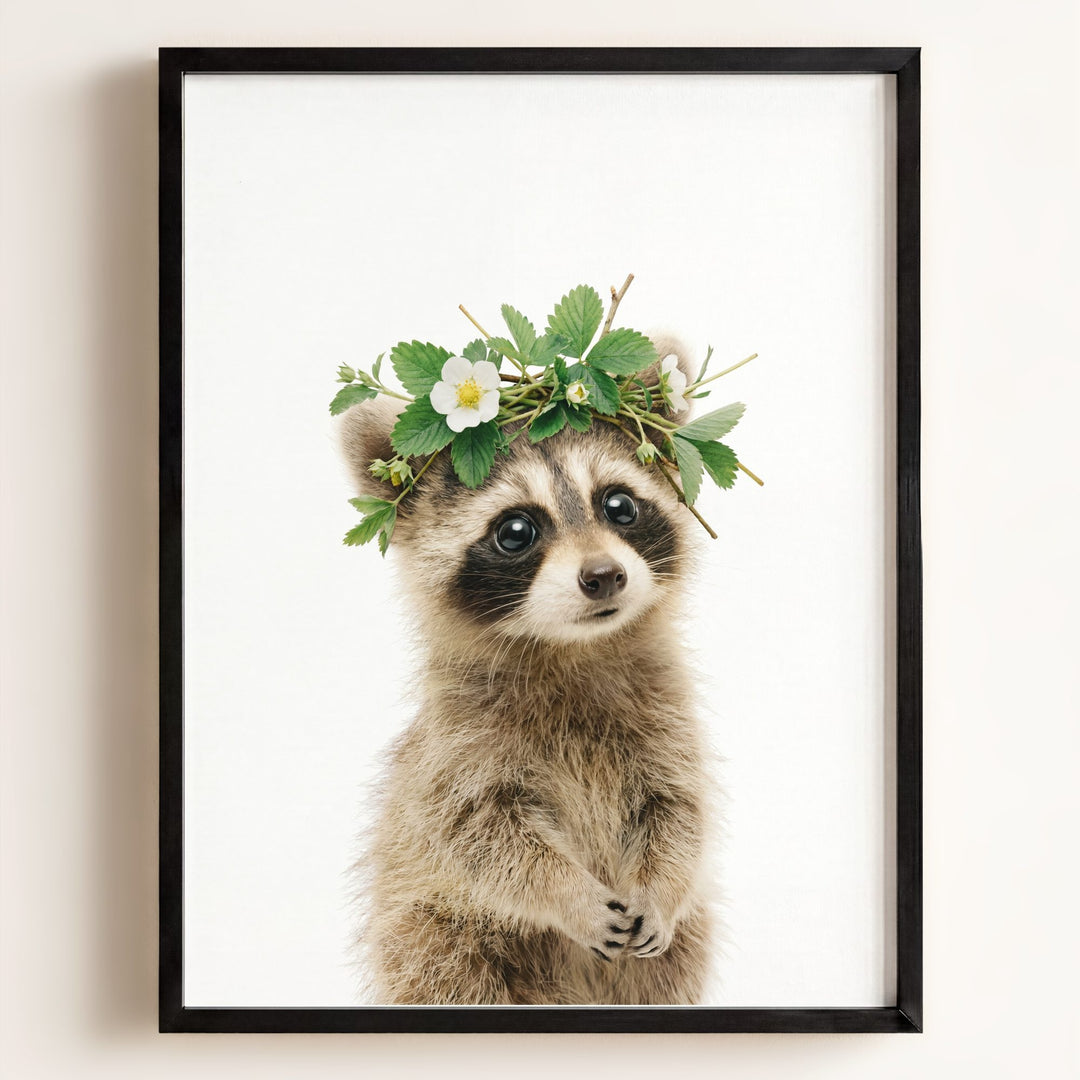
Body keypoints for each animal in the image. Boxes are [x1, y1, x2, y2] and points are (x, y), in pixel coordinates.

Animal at [338, 340, 714, 1005]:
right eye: (516, 530)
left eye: (619, 504)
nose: (603, 576)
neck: (573, 649)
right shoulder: (457, 747)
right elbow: (482, 837)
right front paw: (569, 894)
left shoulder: (667, 717)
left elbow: (679, 810)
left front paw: (662, 886)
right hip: (435, 933)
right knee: (448, 974)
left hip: (677, 955)